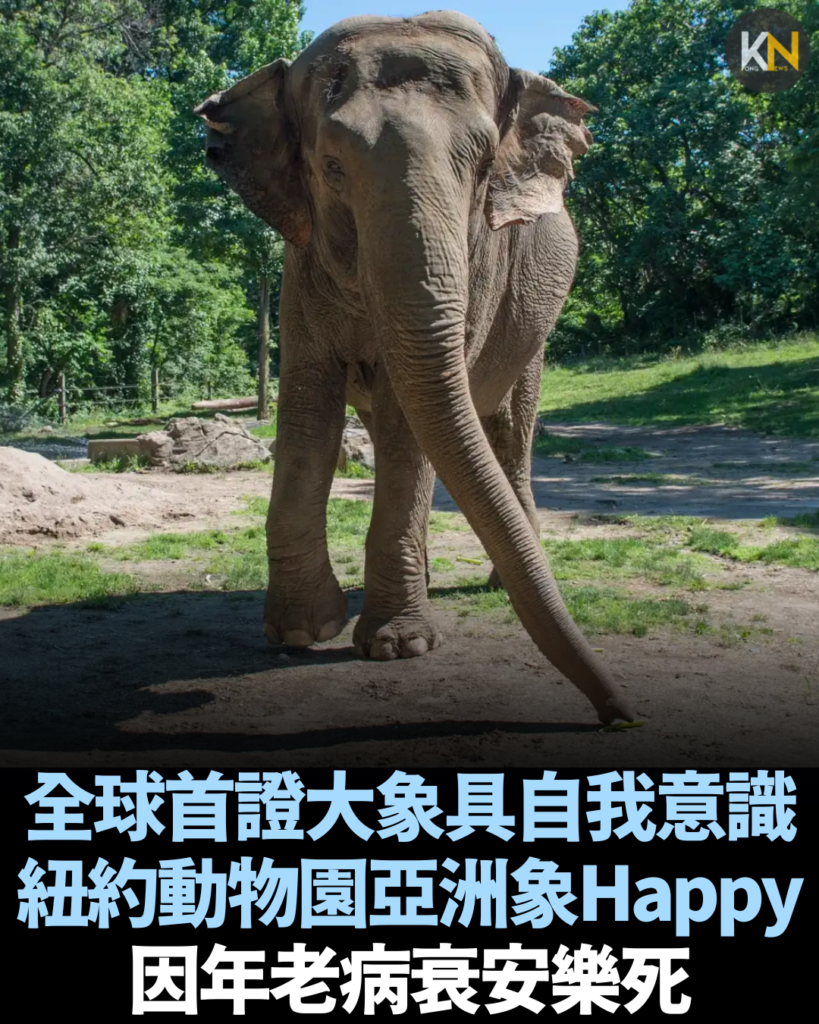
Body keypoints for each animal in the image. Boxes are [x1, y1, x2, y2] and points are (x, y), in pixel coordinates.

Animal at [194, 10, 637, 725]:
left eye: (483, 165)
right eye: (329, 166)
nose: (619, 711)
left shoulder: (483, 267)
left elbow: (410, 427)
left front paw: (398, 648)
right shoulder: (300, 267)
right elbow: (306, 419)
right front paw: (301, 631)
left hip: (533, 328)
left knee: (509, 430)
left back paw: (494, 581)